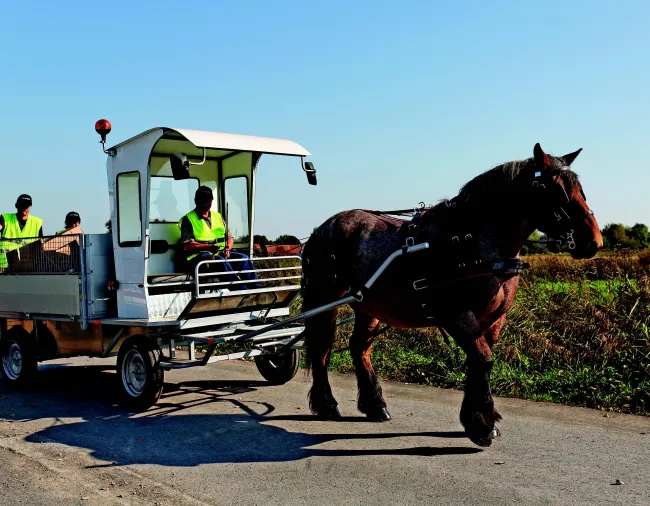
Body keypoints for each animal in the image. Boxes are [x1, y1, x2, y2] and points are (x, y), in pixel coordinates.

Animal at [300, 143, 603, 447]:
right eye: (558, 191)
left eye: (581, 189)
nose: (594, 242)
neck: (471, 240)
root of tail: (322, 229)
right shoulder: (456, 314)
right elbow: (482, 360)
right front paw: (482, 424)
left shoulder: (494, 319)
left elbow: (479, 360)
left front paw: (477, 418)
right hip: (324, 298)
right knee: (321, 348)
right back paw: (327, 404)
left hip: (368, 306)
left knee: (359, 347)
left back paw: (375, 405)